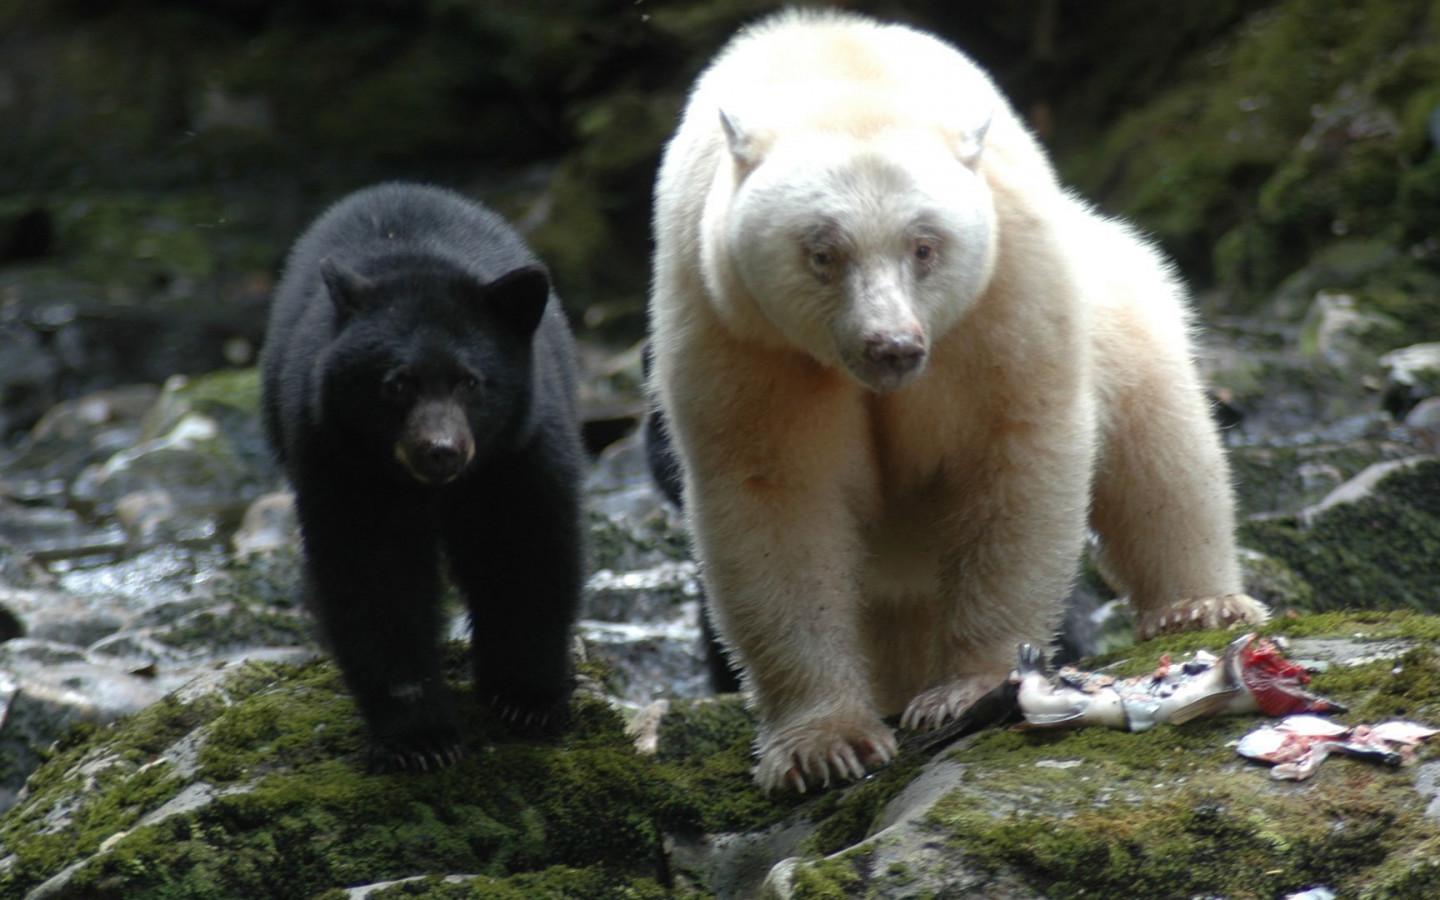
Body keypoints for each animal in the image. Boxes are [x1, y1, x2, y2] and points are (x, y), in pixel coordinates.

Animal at [260, 182, 585, 771]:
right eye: (397, 383)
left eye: (470, 382)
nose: (440, 451)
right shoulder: (341, 458)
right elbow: (374, 575)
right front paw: (420, 737)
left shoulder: (519, 450)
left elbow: (524, 550)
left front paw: (526, 698)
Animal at [647, 10, 1270, 793]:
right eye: (822, 252)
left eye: (925, 246)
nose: (891, 345)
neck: (836, 70)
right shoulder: (737, 329)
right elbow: (775, 496)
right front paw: (825, 744)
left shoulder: (1006, 293)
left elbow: (1012, 450)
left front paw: (967, 688)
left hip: (1118, 292)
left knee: (1161, 448)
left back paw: (1197, 603)